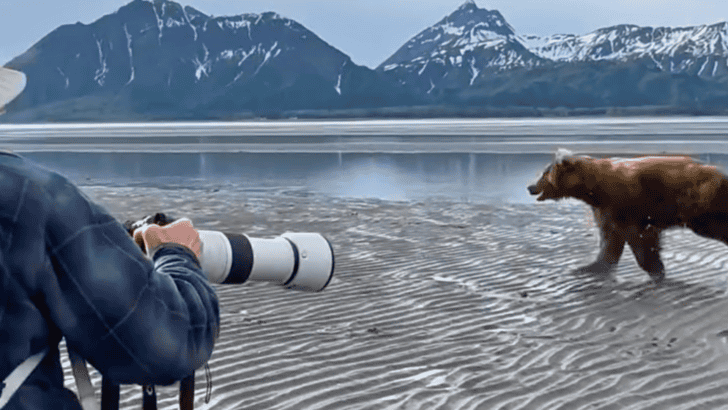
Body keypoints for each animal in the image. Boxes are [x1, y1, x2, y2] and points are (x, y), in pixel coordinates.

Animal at [527, 148, 728, 281]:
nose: (530, 186)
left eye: (544, 174)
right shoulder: (606, 209)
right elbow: (610, 240)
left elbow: (639, 239)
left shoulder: (626, 204)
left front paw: (655, 270)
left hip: (700, 207)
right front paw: (589, 268)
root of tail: (722, 173)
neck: (593, 189)